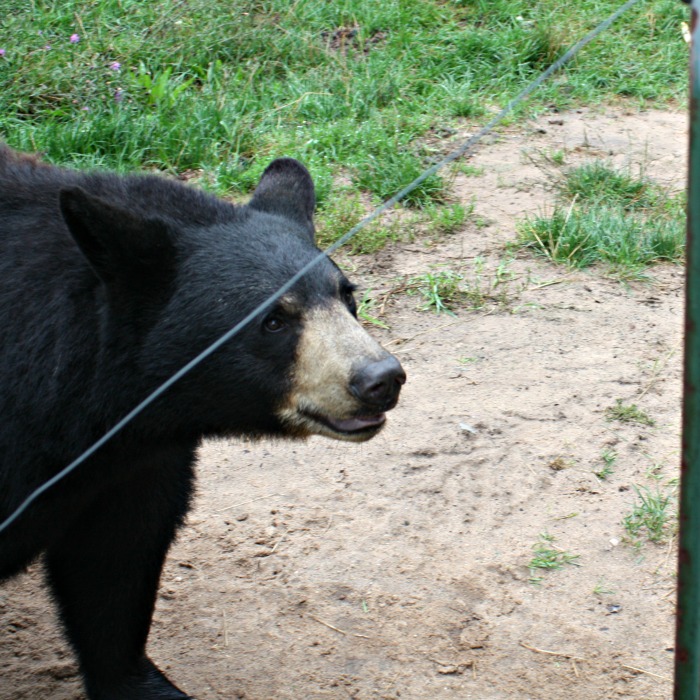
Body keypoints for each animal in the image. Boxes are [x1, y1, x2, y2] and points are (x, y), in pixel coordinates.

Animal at [0, 146, 404, 700]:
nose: (381, 379)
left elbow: (114, 564)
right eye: (273, 320)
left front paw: (141, 683)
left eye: (348, 296)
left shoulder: (133, 466)